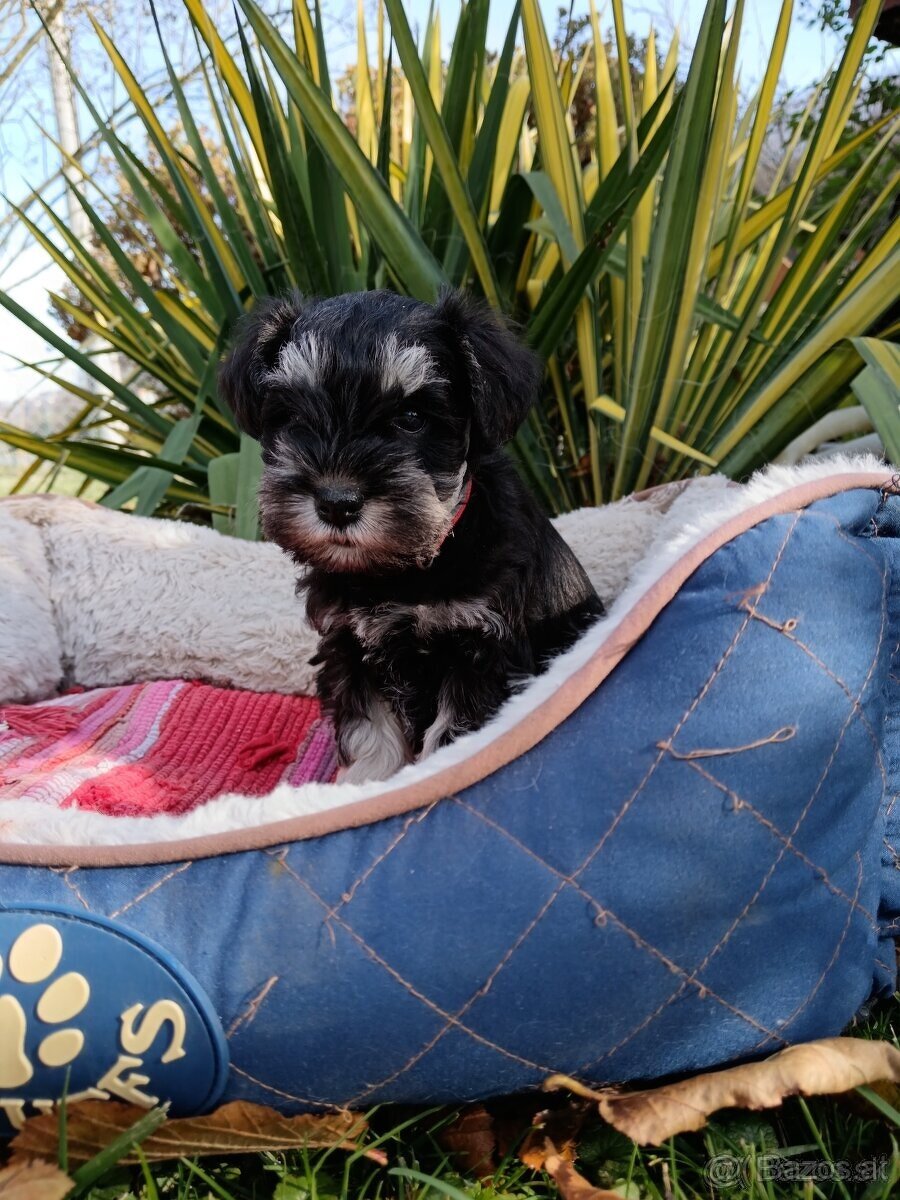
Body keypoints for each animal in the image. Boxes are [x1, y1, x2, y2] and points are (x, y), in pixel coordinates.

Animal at [220, 288, 607, 777]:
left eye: (411, 417)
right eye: (291, 416)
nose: (336, 503)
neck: (402, 569)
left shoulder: (480, 653)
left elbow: (453, 737)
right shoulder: (349, 647)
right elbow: (371, 734)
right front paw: (366, 784)